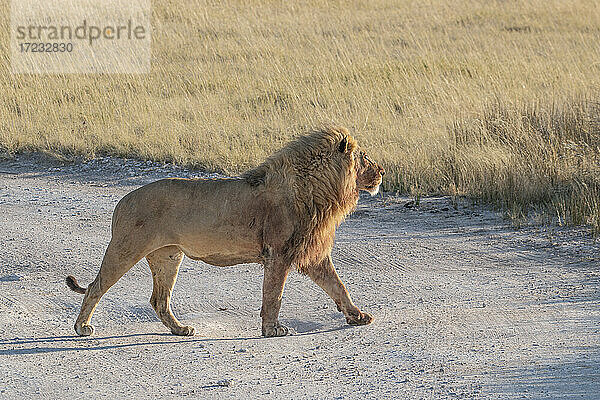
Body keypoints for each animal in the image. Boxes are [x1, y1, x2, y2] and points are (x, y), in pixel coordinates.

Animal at [65, 126, 384, 338]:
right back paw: (82, 327)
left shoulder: (313, 254)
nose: (382, 172)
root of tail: (123, 200)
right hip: (126, 248)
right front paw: (272, 329)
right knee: (95, 287)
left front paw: (358, 316)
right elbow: (273, 295)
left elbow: (338, 286)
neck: (321, 190)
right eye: (365, 157)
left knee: (159, 300)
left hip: (168, 256)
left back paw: (180, 329)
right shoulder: (278, 254)